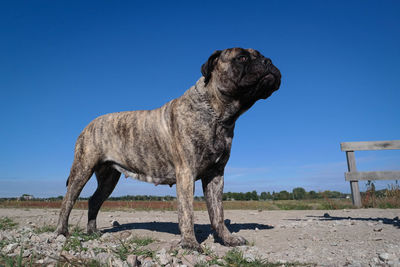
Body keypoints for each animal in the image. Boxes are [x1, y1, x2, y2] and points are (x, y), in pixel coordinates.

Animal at [56, 47, 282, 251]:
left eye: (262, 56)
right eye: (242, 57)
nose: (269, 61)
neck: (218, 115)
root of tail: (89, 124)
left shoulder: (216, 175)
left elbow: (218, 213)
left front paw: (228, 239)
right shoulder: (186, 173)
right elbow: (187, 212)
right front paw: (190, 243)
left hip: (109, 177)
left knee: (94, 201)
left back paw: (92, 231)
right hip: (82, 169)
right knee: (68, 201)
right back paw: (61, 233)